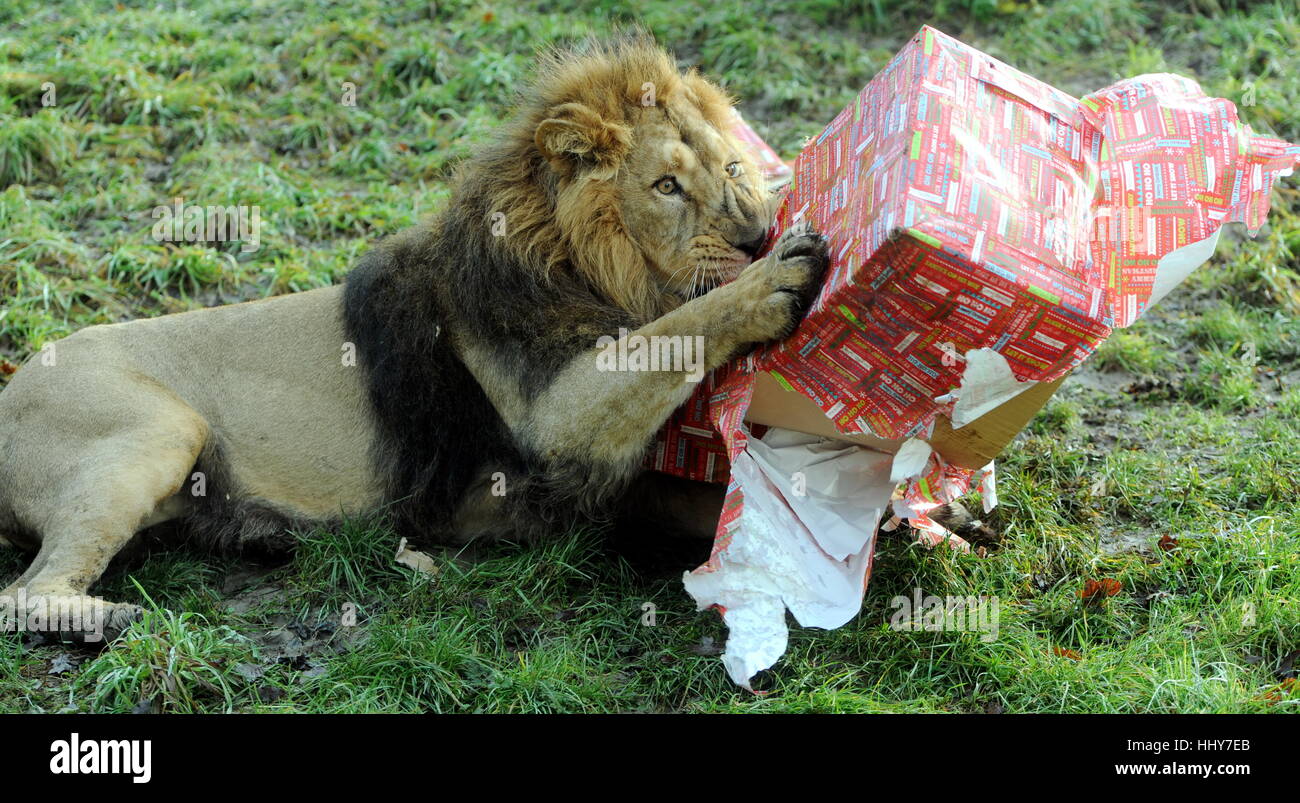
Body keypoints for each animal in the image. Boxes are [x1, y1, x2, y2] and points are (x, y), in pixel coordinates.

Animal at [0, 35, 832, 636]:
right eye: (666, 186)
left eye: (733, 168)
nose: (756, 237)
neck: (592, 268)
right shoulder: (552, 422)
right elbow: (674, 330)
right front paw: (779, 279)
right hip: (161, 427)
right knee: (24, 592)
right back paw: (109, 619)